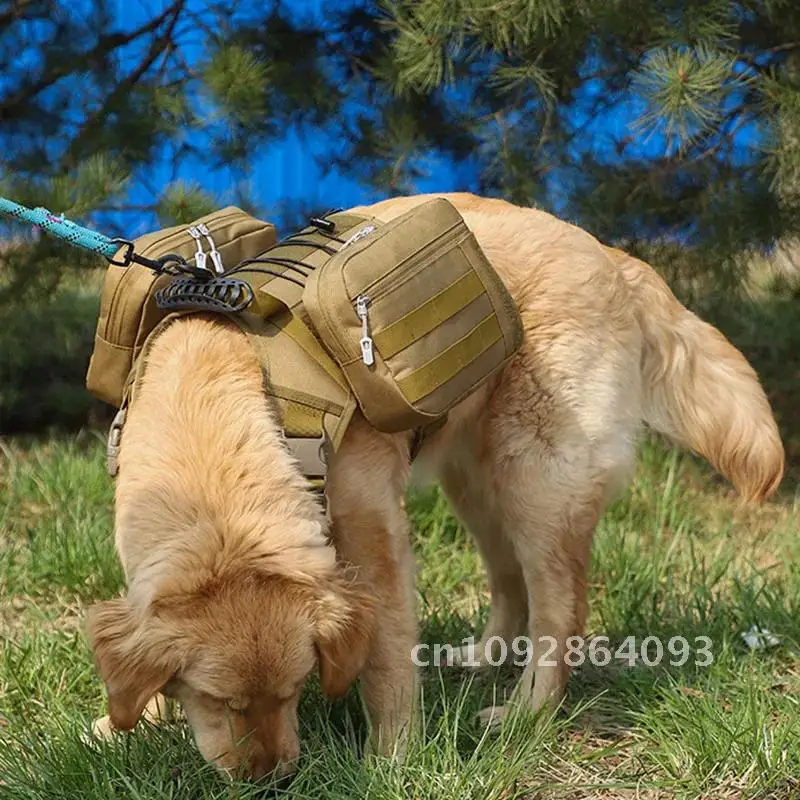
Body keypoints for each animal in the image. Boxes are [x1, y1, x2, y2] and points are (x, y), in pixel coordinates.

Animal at [86, 191, 780, 780]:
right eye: (218, 701)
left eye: (293, 689)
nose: (272, 779)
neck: (225, 403)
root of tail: (608, 254)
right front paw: (127, 723)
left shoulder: (373, 535)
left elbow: (387, 655)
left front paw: (390, 758)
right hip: (475, 484)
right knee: (508, 580)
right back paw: (483, 659)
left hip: (537, 482)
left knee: (560, 612)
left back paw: (526, 712)